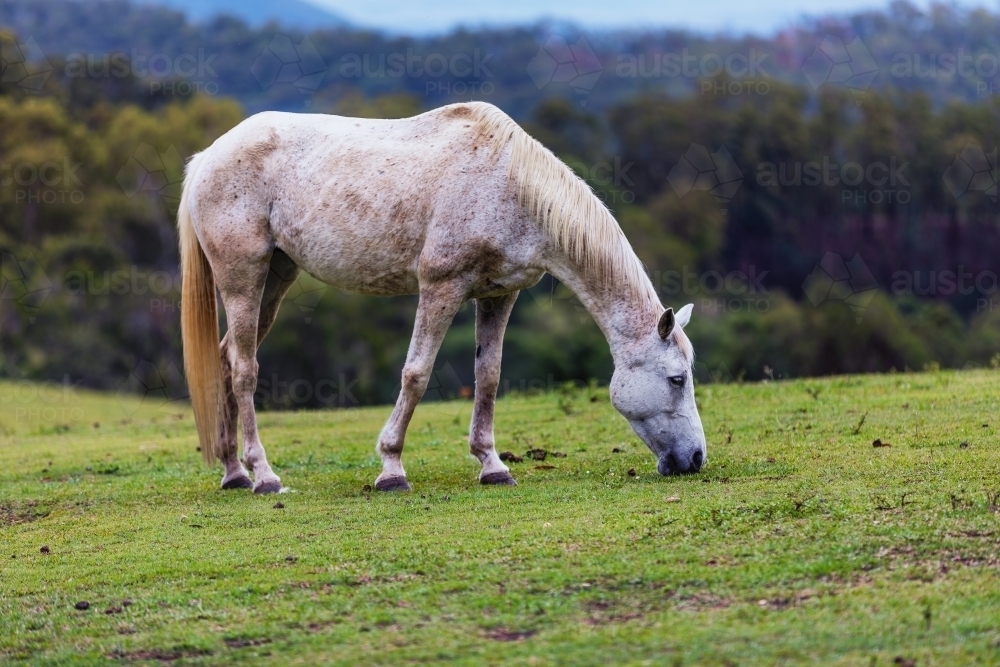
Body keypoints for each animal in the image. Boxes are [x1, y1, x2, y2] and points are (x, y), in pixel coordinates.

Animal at [178, 101, 707, 493]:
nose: (696, 458)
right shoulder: (441, 286)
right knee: (245, 369)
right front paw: (391, 468)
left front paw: (492, 465)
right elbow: (416, 374)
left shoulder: (499, 296)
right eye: (677, 378)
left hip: (277, 276)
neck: (508, 184)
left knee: (226, 357)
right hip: (243, 277)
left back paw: (233, 472)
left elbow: (488, 377)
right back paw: (263, 475)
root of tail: (206, 158)